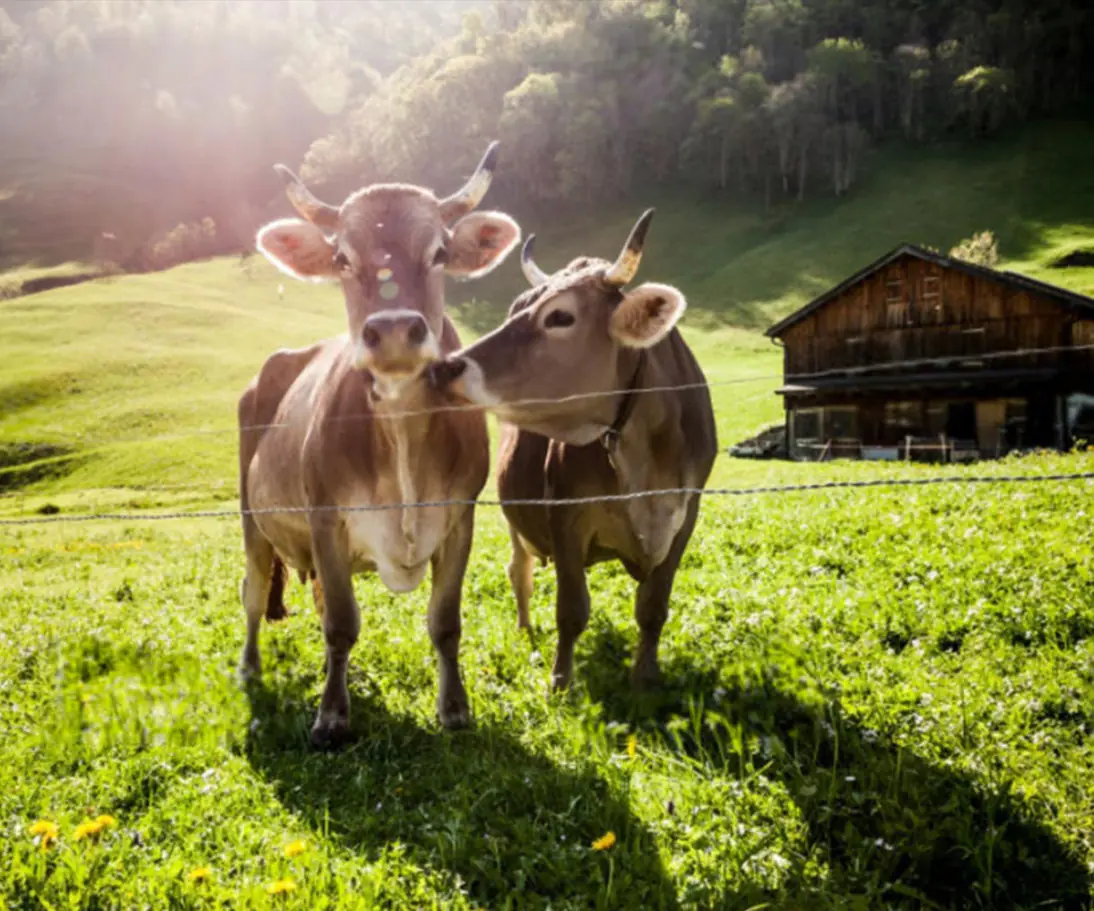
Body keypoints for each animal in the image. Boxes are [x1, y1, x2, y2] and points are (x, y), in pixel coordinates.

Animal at [239, 144, 520, 748]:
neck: (402, 426)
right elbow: (342, 623)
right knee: (253, 591)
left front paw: (454, 708)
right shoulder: (325, 518)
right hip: (253, 518)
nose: (392, 330)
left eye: (440, 252)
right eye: (342, 258)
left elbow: (445, 621)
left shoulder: (460, 518)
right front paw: (330, 717)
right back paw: (250, 666)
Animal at [426, 211, 717, 691]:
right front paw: (561, 681)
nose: (444, 367)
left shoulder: (685, 515)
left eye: (560, 316)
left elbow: (653, 607)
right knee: (519, 572)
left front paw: (646, 676)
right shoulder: (564, 515)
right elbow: (572, 610)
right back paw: (525, 628)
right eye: (518, 307)